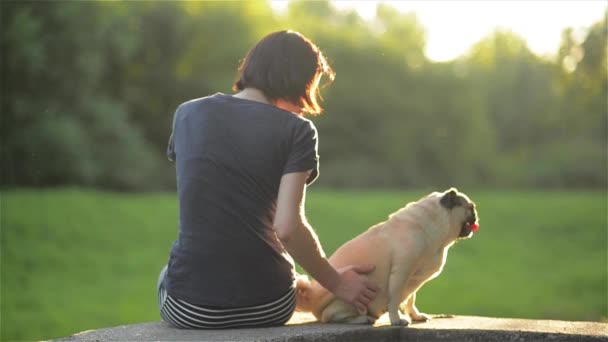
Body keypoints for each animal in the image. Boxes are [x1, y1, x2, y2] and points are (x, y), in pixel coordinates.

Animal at [296, 190, 480, 326]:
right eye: (470, 207)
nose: (476, 215)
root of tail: (311, 299)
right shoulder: (401, 272)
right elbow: (395, 299)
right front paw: (397, 320)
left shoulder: (413, 280)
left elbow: (410, 299)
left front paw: (415, 315)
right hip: (350, 299)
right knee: (329, 316)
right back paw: (363, 318)